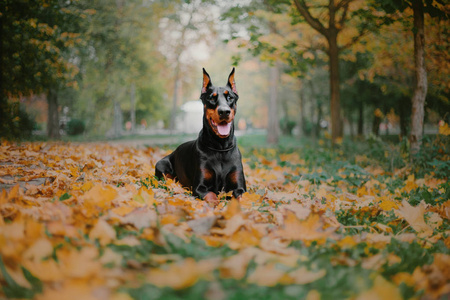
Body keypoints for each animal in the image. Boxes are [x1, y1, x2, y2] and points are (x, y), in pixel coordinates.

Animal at [155, 67, 246, 206]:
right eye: (212, 98)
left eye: (230, 97)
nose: (224, 112)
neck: (220, 148)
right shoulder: (199, 187)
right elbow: (211, 195)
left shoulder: (240, 187)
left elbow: (241, 198)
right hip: (161, 165)